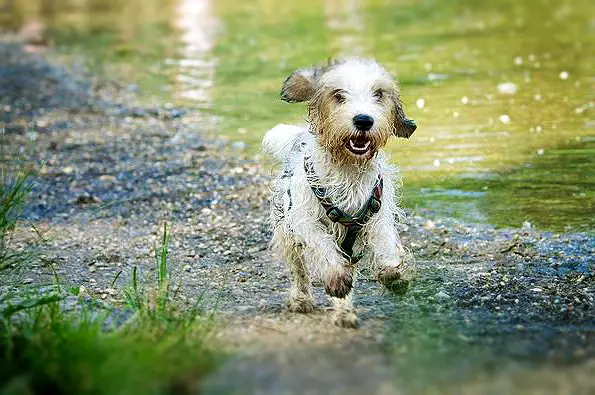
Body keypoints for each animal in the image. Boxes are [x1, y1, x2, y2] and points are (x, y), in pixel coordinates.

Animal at [264, 56, 416, 328]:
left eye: (379, 94)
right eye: (338, 95)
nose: (364, 120)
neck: (347, 169)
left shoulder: (377, 213)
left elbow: (385, 243)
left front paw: (393, 273)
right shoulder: (304, 219)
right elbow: (322, 246)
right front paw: (335, 277)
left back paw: (345, 314)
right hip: (286, 232)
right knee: (298, 269)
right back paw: (303, 299)